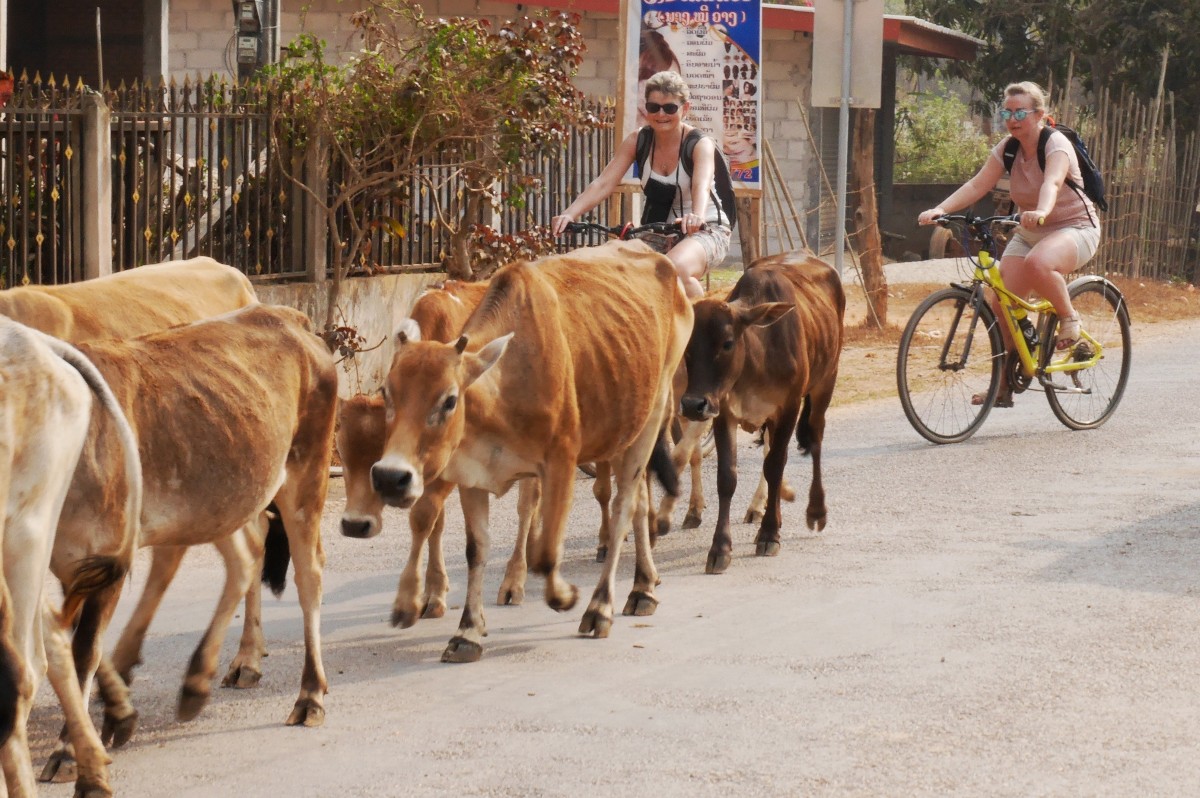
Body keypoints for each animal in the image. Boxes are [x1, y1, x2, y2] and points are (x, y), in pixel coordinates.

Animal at [44, 302, 336, 744]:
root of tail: (286, 315)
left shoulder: (106, 556)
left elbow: (84, 650)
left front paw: (69, 744)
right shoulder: (71, 563)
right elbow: (77, 640)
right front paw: (117, 712)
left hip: (306, 473)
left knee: (308, 574)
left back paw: (309, 695)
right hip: (222, 494)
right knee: (245, 555)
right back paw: (208, 675)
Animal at [372, 241, 696, 657]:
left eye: (449, 400)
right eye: (387, 393)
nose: (388, 477)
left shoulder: (560, 462)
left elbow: (544, 551)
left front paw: (563, 595)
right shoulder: (468, 472)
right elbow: (473, 547)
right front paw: (464, 629)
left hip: (652, 414)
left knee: (623, 505)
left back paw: (602, 605)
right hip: (624, 426)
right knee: (636, 500)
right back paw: (642, 584)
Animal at [681, 249, 840, 573]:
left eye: (727, 342)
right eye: (688, 346)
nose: (692, 404)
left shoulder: (789, 407)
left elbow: (775, 466)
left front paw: (769, 534)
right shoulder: (723, 411)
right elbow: (727, 478)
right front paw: (720, 547)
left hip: (825, 383)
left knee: (814, 440)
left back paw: (815, 511)